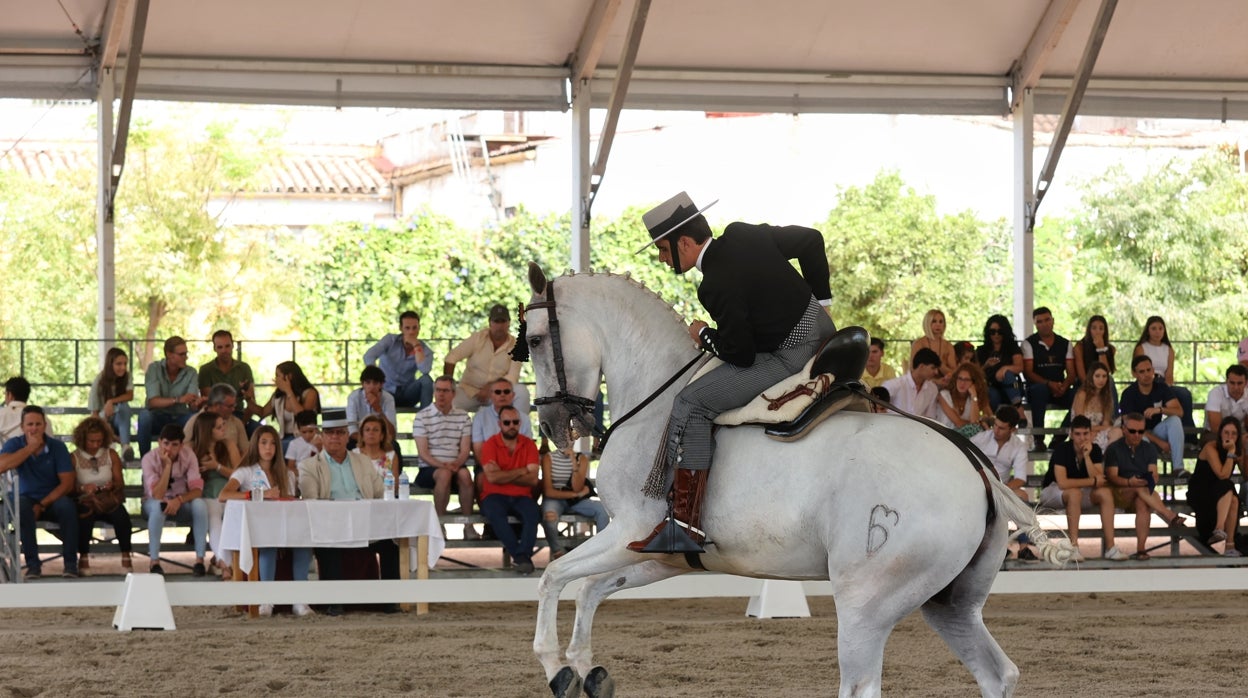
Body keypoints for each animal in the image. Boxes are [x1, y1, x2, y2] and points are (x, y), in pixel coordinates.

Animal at [521, 263, 1068, 698]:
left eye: (533, 340)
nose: (552, 427)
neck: (657, 402)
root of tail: (977, 469)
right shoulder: (661, 554)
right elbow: (589, 589)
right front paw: (587, 670)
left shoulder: (629, 529)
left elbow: (555, 577)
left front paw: (556, 667)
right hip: (949, 604)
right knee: (997, 674)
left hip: (866, 605)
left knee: (861, 685)